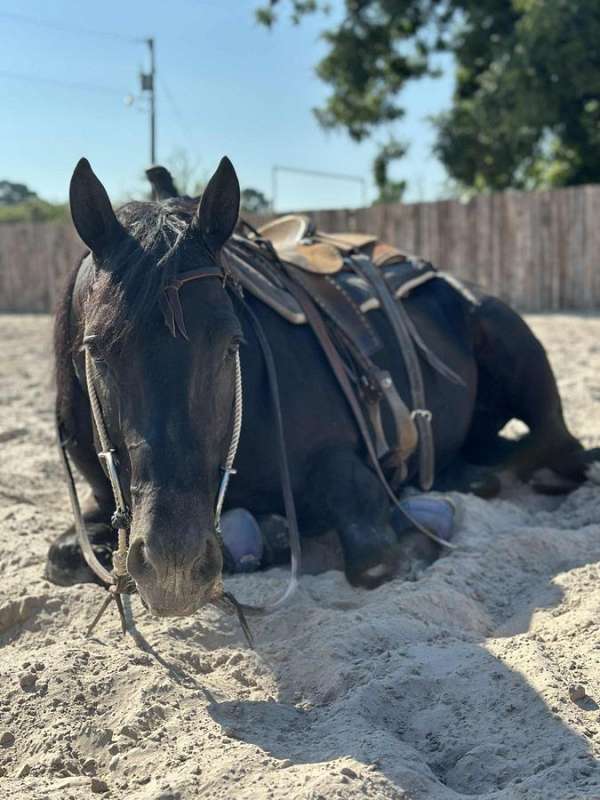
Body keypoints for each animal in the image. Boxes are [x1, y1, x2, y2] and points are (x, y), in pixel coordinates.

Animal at [47, 155, 598, 617]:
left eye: (231, 344)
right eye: (96, 349)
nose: (173, 567)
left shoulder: (347, 470)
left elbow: (371, 552)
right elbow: (61, 556)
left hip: (515, 349)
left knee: (555, 444)